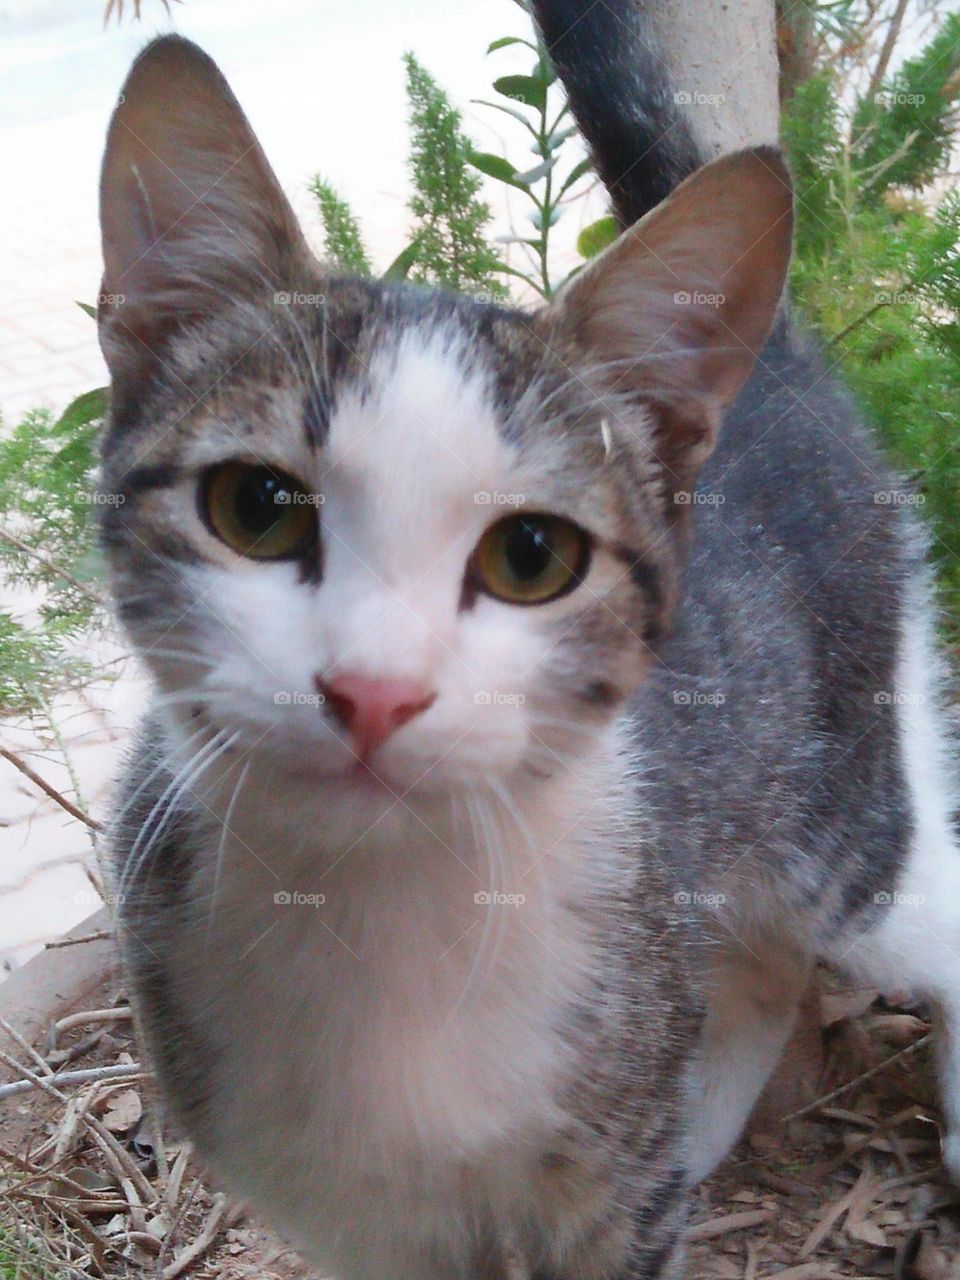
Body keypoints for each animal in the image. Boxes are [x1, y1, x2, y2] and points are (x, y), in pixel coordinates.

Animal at [97, 2, 960, 1280]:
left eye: (532, 556)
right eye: (256, 508)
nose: (374, 689)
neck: (387, 914)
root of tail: (779, 367)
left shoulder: (611, 1199)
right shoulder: (354, 1214)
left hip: (841, 812)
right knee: (758, 972)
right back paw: (706, 1112)